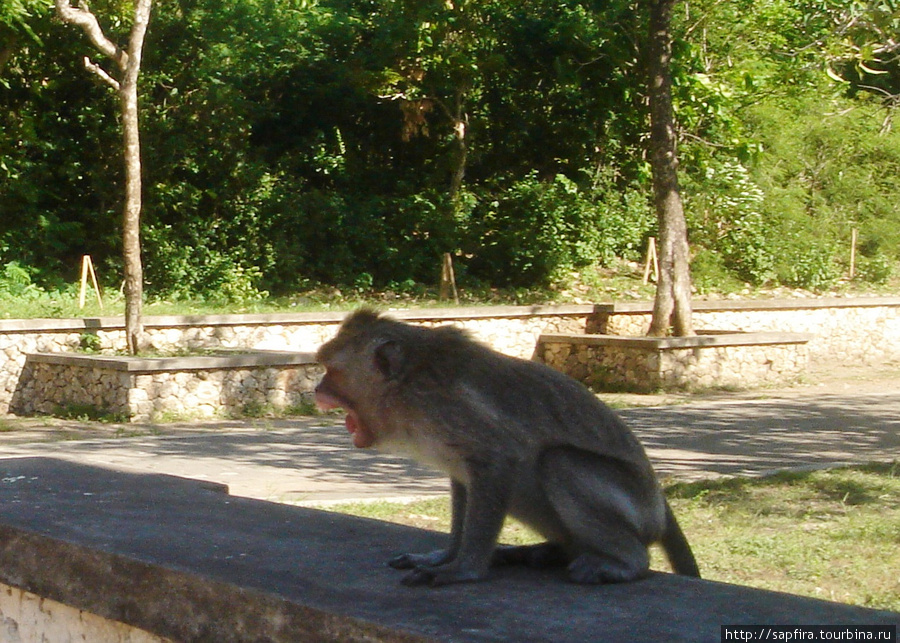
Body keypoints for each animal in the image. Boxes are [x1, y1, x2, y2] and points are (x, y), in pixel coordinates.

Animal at [312, 310, 700, 588]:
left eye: (331, 370)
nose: (317, 388)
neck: (407, 385)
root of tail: (659, 505)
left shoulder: (449, 409)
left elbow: (499, 459)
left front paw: (464, 569)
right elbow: (462, 479)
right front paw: (445, 556)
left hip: (635, 508)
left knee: (558, 462)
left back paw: (624, 563)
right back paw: (551, 552)